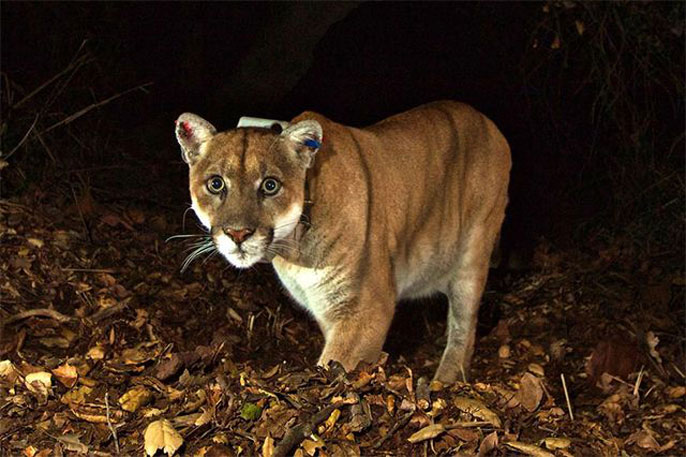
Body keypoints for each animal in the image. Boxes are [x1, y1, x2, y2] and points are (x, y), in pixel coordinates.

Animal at [176, 100, 510, 382]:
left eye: (270, 186)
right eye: (216, 183)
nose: (238, 234)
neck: (293, 249)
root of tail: (488, 122)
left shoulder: (366, 309)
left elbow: (335, 365)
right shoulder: (326, 307)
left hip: (473, 254)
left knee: (464, 328)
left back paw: (446, 380)